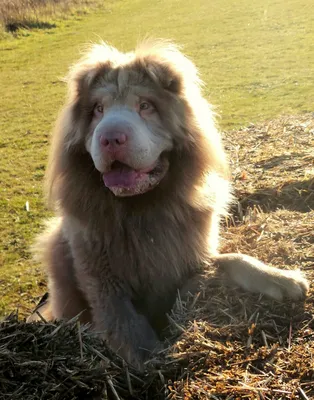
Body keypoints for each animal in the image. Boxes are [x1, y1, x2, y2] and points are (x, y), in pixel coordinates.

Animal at [29, 39, 310, 368]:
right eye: (98, 110)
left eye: (145, 106)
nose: (110, 138)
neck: (141, 211)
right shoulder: (102, 280)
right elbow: (123, 321)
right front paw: (151, 359)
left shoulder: (187, 257)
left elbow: (231, 258)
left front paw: (282, 278)